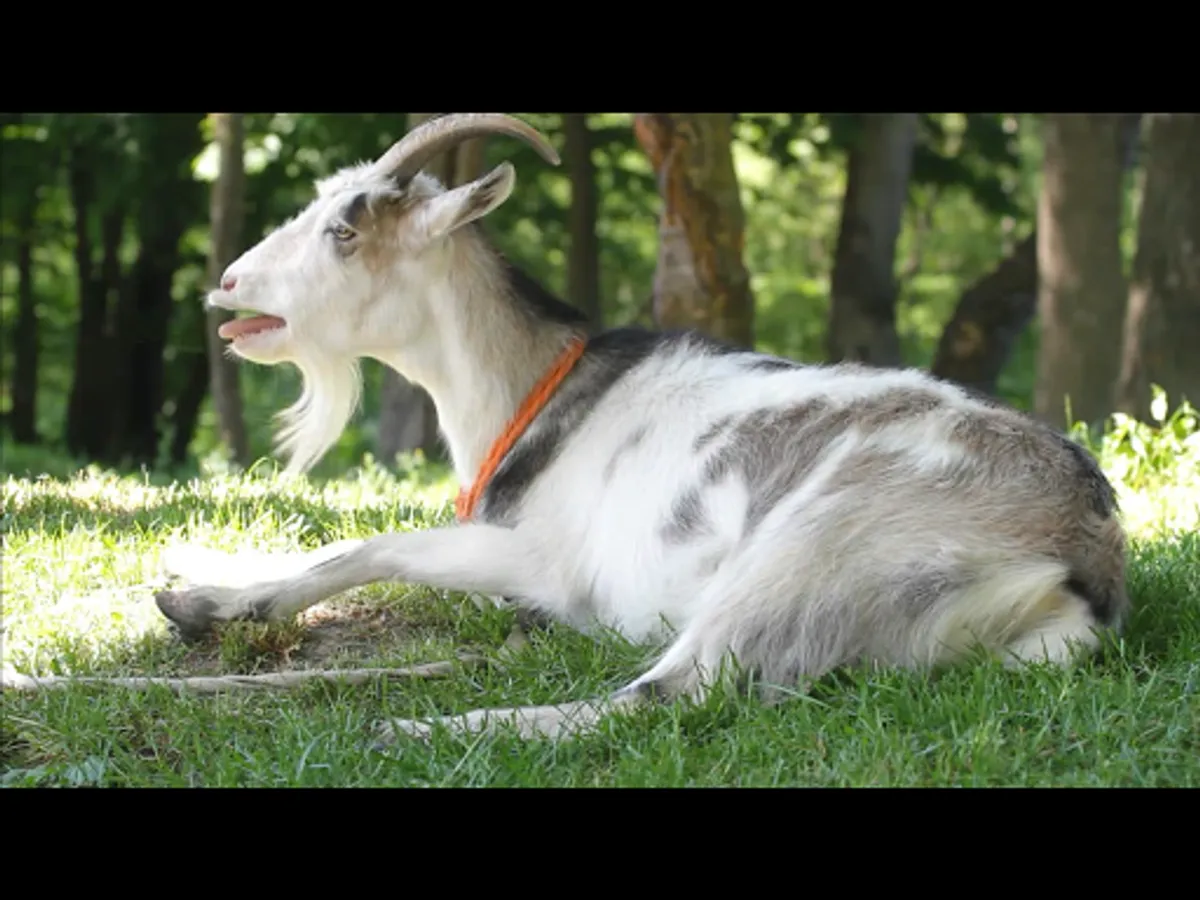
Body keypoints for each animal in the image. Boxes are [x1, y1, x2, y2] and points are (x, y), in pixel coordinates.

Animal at [156, 113, 1130, 744]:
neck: (542, 395)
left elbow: (371, 545)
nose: (230, 284)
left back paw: (425, 725)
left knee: (669, 694)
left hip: (817, 547)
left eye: (344, 230)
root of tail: (1082, 560)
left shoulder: (542, 560)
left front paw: (206, 601)